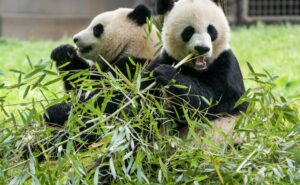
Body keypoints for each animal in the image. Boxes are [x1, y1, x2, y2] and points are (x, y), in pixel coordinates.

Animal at [142, 0, 248, 144]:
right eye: (188, 31)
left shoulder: (226, 65)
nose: (202, 48)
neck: (196, 69)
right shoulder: (166, 58)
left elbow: (209, 99)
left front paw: (167, 73)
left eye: (211, 30)